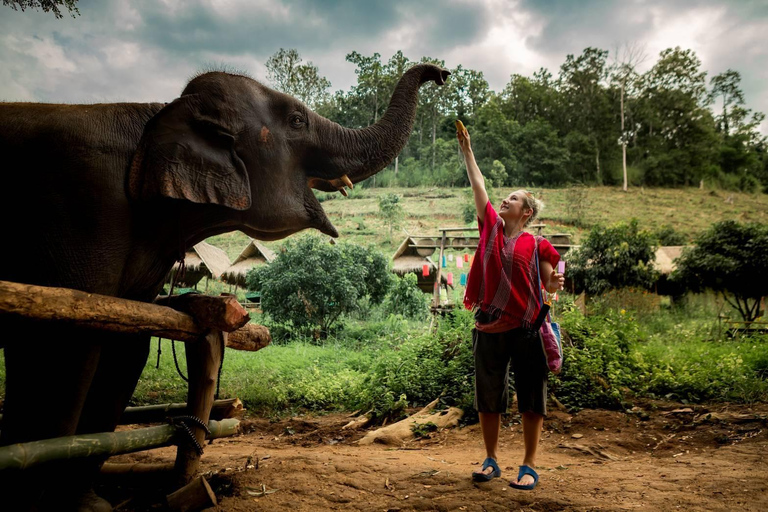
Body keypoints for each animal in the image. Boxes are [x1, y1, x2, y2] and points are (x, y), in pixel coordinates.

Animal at [0, 62, 450, 510]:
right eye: (297, 121)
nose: (442, 74)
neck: (161, 113)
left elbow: (128, 341)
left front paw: (89, 504)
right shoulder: (78, 205)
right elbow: (67, 342)